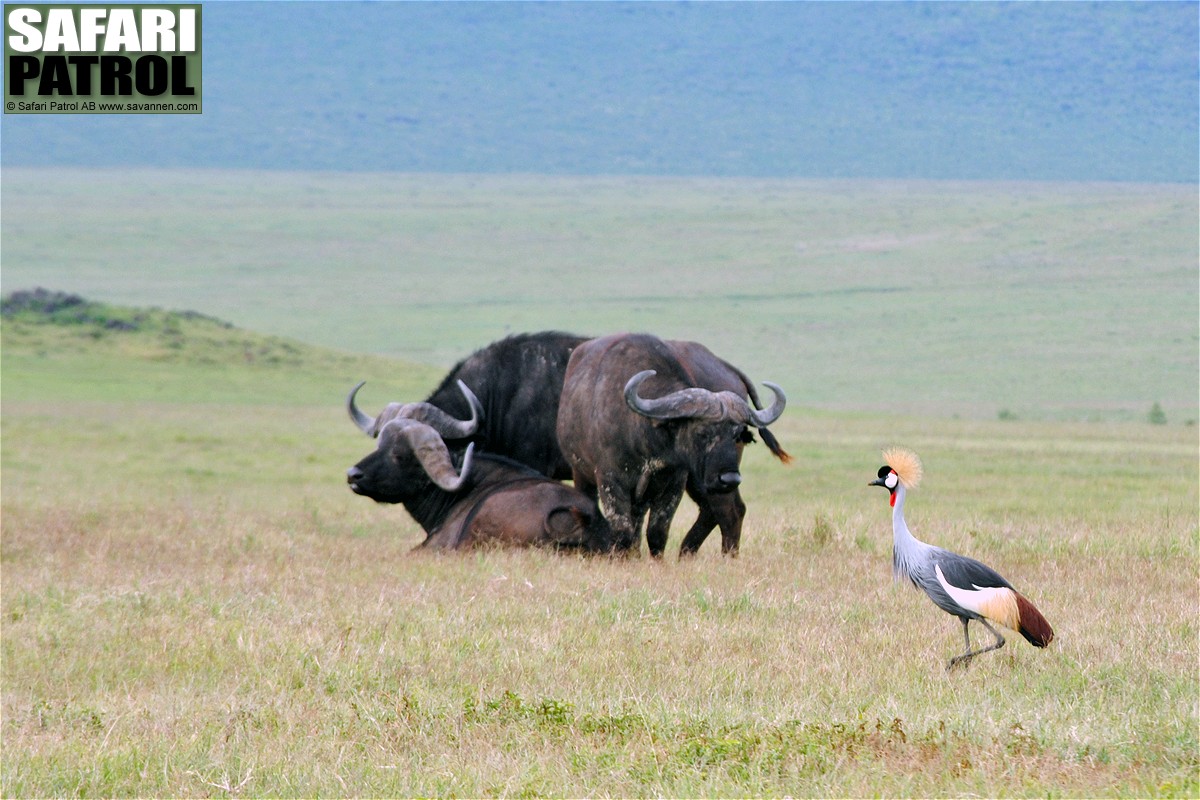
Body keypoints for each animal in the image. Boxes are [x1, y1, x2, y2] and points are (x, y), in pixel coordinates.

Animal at [554, 331, 787, 556]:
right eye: (701, 432)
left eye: (738, 435)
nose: (730, 478)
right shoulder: (611, 480)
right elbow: (623, 530)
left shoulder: (674, 483)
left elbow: (657, 531)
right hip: (581, 474)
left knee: (727, 511)